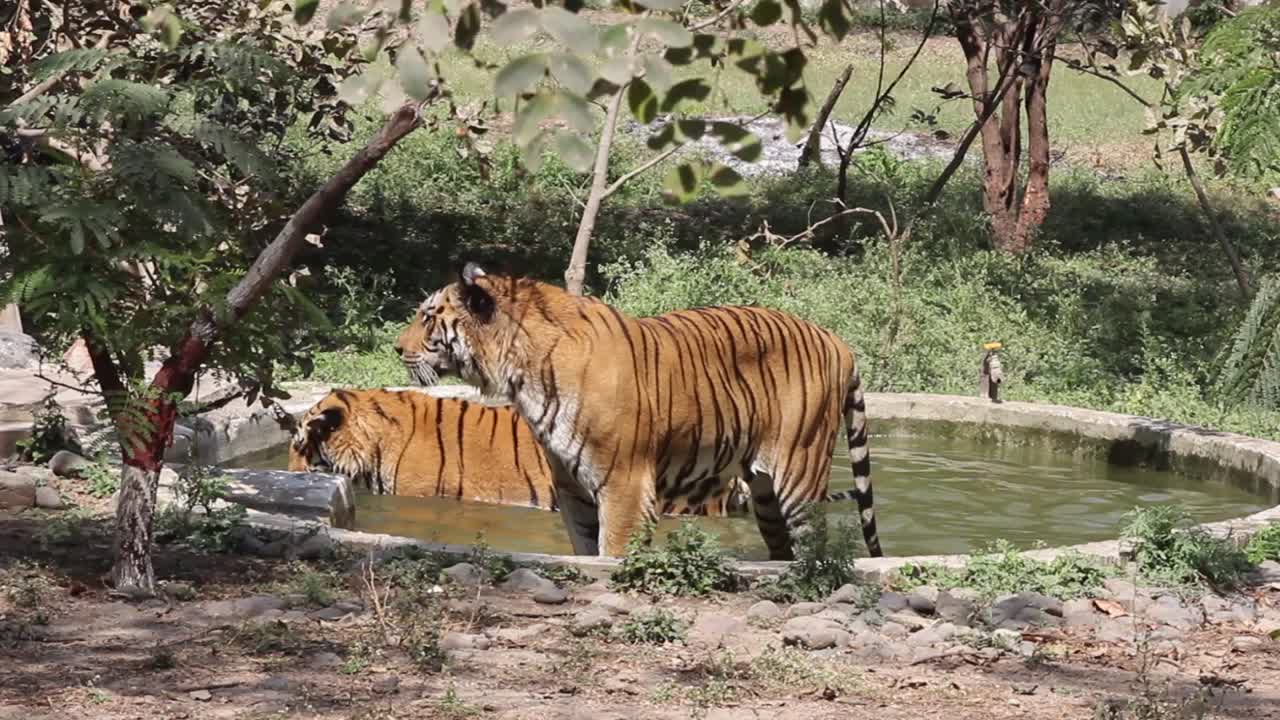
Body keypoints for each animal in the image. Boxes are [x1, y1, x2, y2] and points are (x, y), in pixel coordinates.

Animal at [393, 263, 882, 560]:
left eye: (428, 316)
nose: (397, 348)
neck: (520, 370)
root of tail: (837, 340)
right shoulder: (572, 488)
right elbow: (586, 550)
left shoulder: (624, 486)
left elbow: (612, 552)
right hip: (765, 495)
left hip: (799, 475)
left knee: (816, 546)